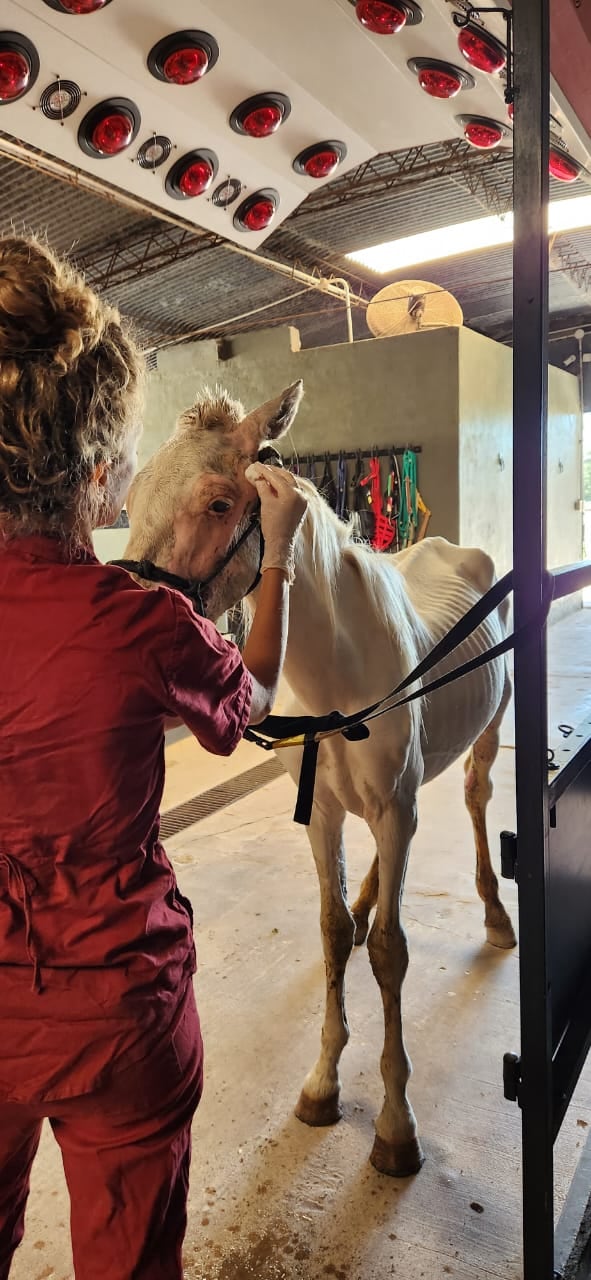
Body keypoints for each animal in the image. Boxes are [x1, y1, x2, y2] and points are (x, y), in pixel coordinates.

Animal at [122, 378, 515, 1177]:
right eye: (134, 494)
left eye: (218, 502)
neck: (338, 666)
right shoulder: (328, 812)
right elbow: (334, 932)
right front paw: (322, 1083)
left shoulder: (394, 810)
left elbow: (393, 953)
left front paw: (396, 1124)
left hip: (485, 737)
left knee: (473, 798)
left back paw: (495, 914)